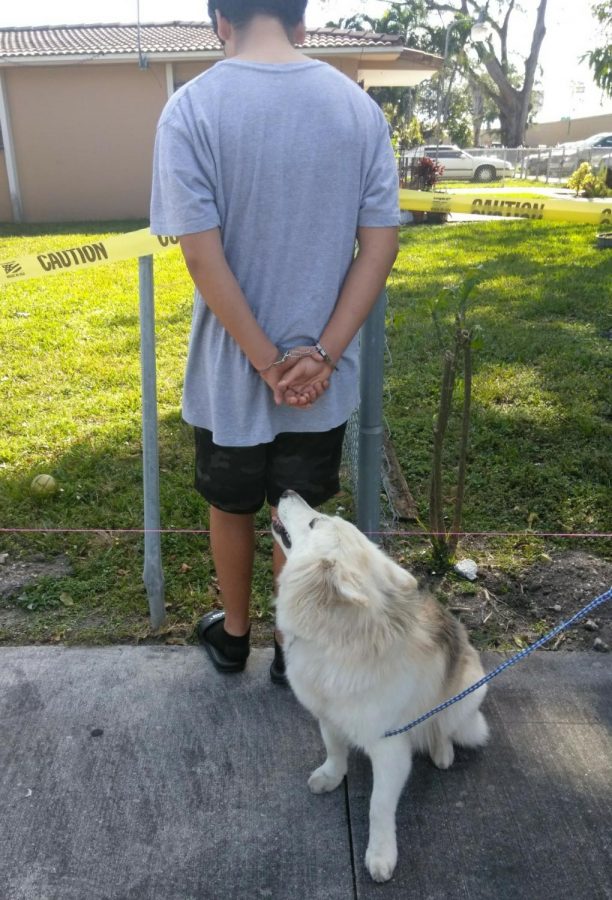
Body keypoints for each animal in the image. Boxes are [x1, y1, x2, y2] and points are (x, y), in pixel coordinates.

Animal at [272, 492, 488, 880]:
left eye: (314, 522)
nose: (286, 493)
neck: (337, 639)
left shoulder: (390, 750)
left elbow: (378, 806)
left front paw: (380, 853)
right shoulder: (329, 718)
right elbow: (334, 751)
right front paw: (331, 776)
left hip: (470, 691)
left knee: (444, 728)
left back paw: (442, 751)